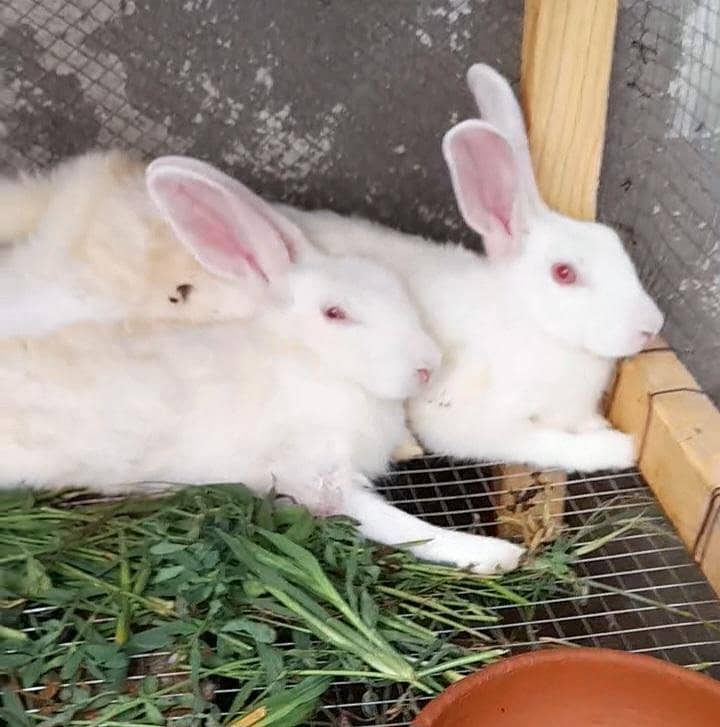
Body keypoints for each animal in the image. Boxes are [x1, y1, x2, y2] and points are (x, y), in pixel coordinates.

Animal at [0, 156, 524, 575]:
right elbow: (400, 525)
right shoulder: (318, 478)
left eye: (396, 289)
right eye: (335, 313)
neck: (315, 365)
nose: (427, 366)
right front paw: (494, 554)